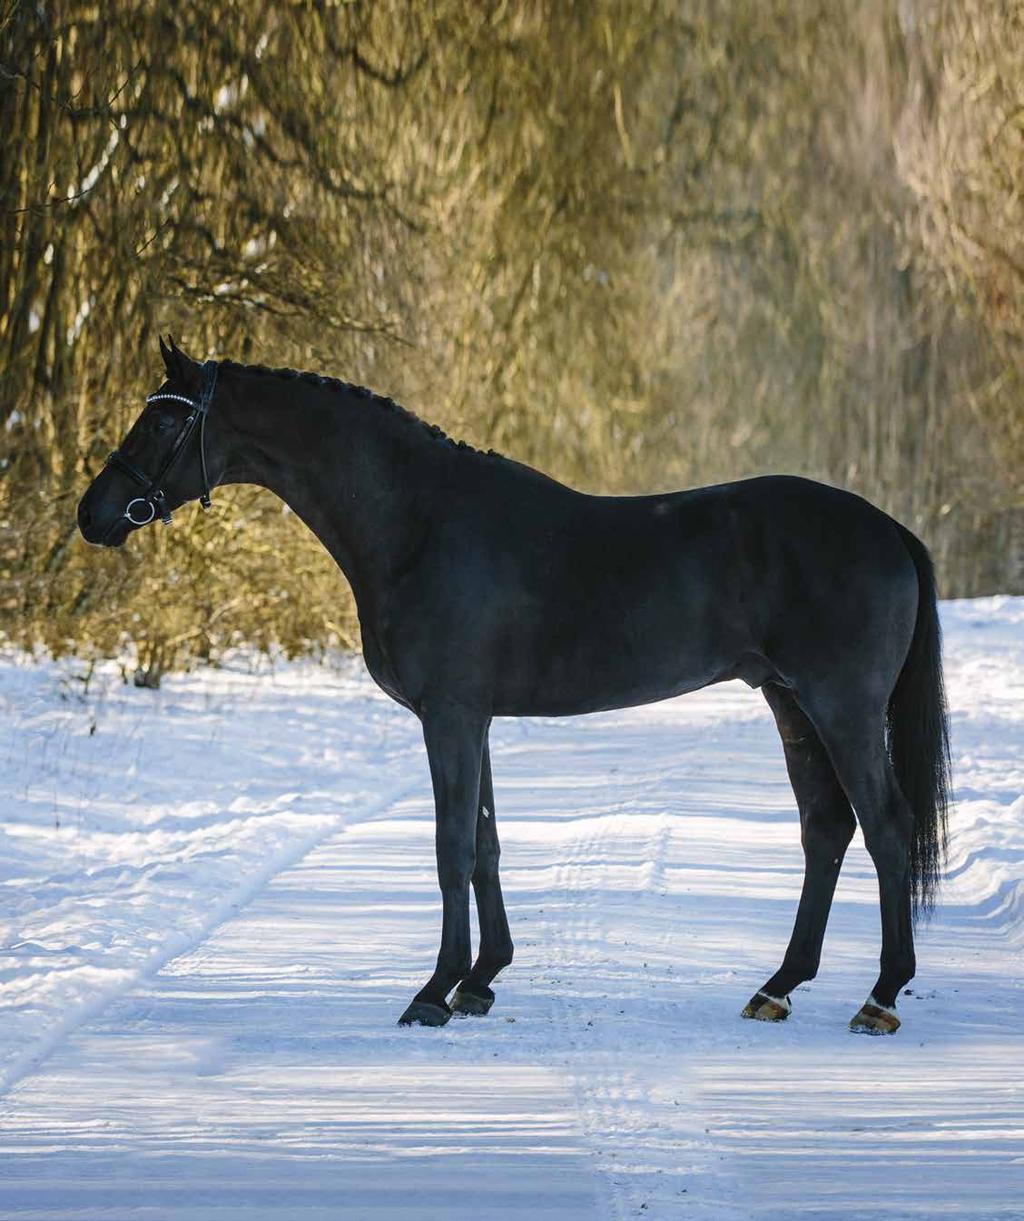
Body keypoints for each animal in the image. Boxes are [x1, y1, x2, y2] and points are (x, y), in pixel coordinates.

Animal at [75, 339, 947, 1035]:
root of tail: (889, 529)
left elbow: (451, 845)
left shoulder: (450, 716)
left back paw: (880, 995)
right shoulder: (475, 717)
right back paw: (777, 986)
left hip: (842, 707)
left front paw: (433, 989)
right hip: (789, 701)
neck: (418, 521)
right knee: (825, 828)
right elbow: (486, 843)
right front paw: (481, 979)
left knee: (886, 826)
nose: (94, 513)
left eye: (163, 423)